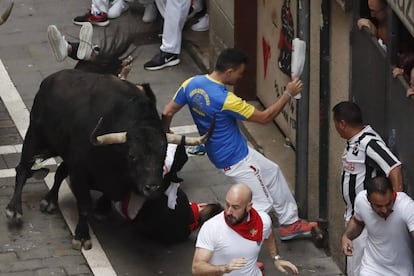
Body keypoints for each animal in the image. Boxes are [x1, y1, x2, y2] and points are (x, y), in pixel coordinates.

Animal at [5, 69, 213, 250]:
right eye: (132, 156)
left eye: (163, 156)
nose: (153, 188)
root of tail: (51, 79)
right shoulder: (80, 171)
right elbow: (84, 206)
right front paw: (82, 236)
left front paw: (103, 208)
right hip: (34, 133)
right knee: (23, 169)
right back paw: (14, 210)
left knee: (59, 172)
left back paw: (49, 200)